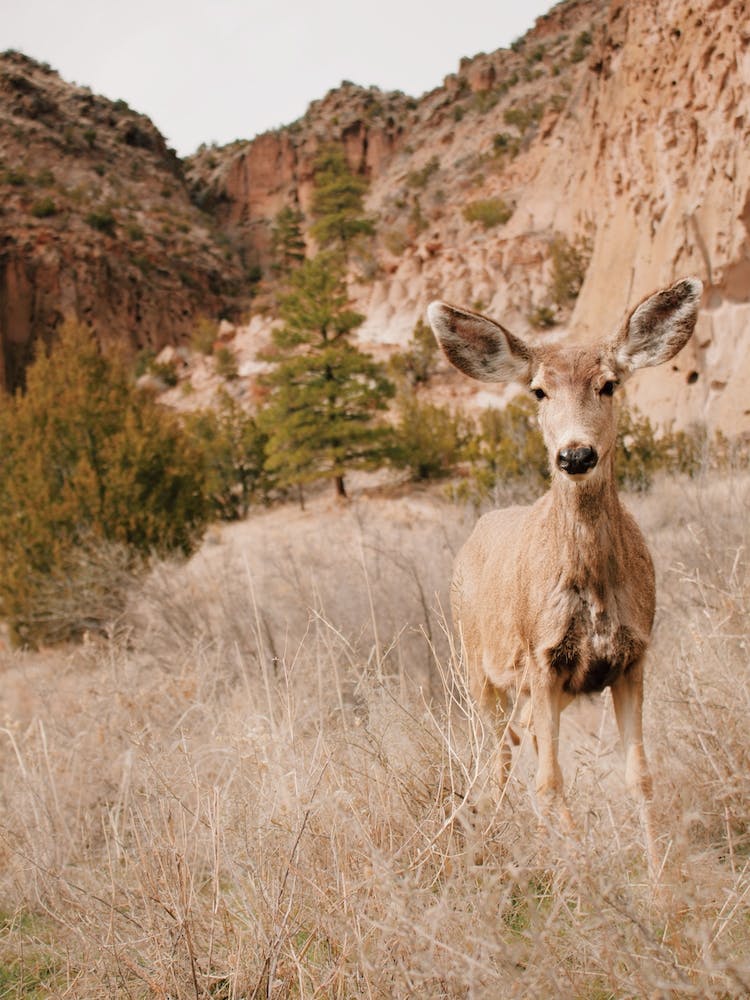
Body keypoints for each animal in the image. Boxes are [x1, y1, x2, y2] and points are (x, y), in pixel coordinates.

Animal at [427, 277, 703, 872]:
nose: (575, 455)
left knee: (523, 738)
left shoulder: (632, 657)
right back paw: (495, 832)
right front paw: (577, 873)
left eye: (608, 385)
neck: (592, 591)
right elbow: (551, 781)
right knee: (500, 751)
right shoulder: (541, 657)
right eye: (538, 391)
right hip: (474, 665)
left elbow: (639, 776)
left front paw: (662, 886)